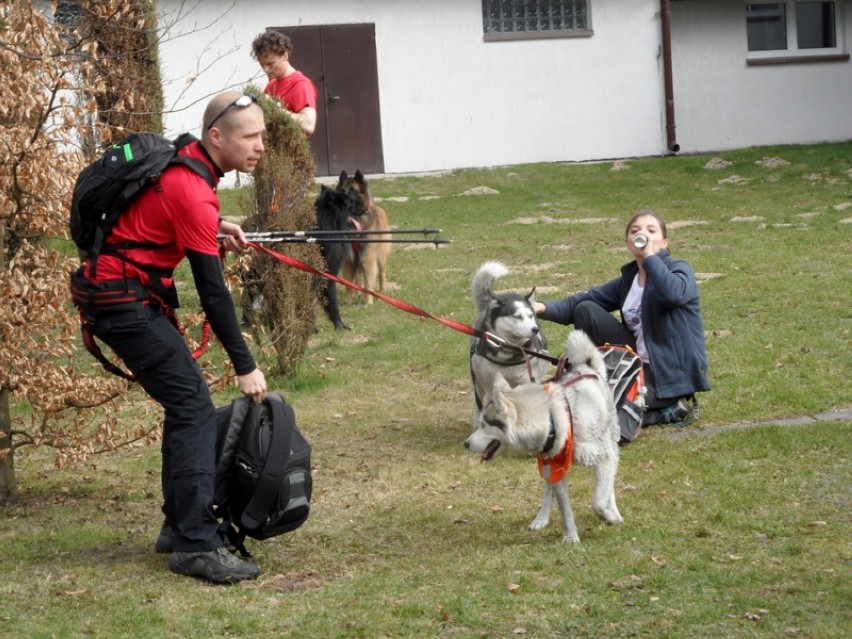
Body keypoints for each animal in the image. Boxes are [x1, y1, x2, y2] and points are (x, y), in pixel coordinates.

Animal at [340, 170, 392, 304]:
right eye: (342, 190)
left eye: (352, 190)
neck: (355, 219)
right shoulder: (349, 259)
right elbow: (349, 282)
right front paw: (348, 301)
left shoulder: (368, 257)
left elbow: (368, 282)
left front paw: (368, 302)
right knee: (357, 278)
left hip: (381, 255)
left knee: (382, 273)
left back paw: (382, 291)